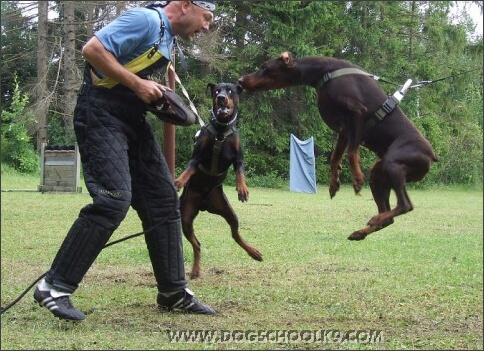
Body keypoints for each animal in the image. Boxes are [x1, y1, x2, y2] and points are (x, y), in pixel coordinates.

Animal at [175, 82, 262, 278]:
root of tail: (204, 205)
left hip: (228, 211)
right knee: (197, 244)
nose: (221, 97)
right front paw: (180, 181)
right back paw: (195, 270)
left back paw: (254, 252)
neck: (221, 131)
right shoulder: (198, 155)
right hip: (186, 217)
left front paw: (242, 189)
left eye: (230, 91)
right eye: (216, 91)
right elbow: (190, 167)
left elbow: (240, 172)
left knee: (235, 235)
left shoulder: (238, 158)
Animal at [239, 52, 438, 242]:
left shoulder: (357, 113)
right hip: (378, 174)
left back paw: (373, 219)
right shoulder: (344, 129)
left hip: (393, 164)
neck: (323, 72)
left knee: (405, 205)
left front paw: (357, 179)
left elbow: (351, 153)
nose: (240, 80)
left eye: (264, 67)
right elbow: (335, 157)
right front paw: (334, 183)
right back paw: (361, 232)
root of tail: (431, 156)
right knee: (388, 216)